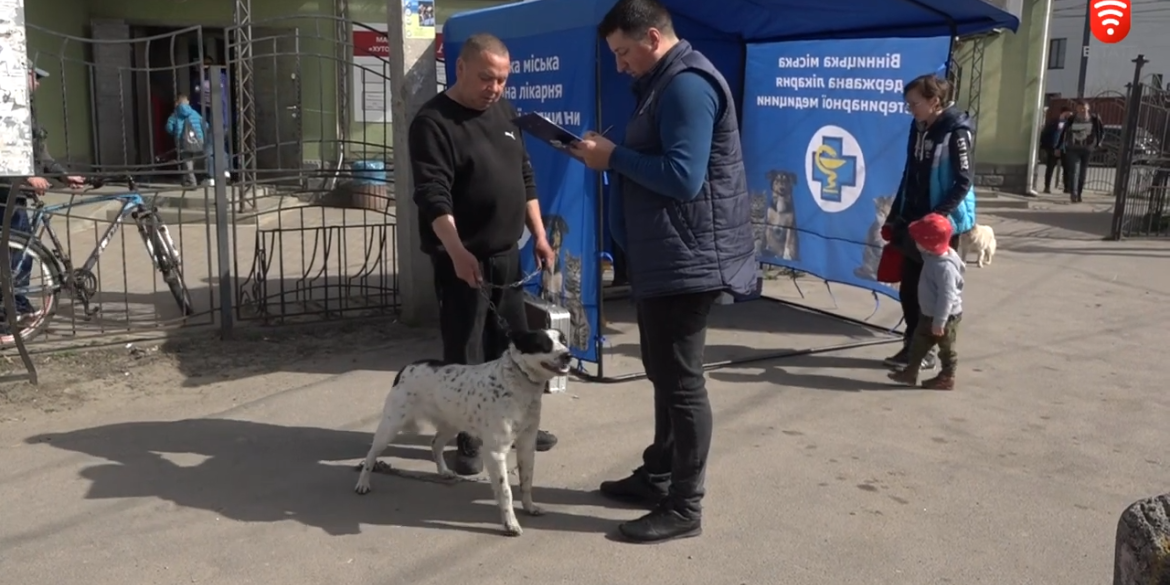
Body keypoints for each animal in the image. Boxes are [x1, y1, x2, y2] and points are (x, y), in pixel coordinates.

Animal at [355, 327, 575, 535]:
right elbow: (505, 491)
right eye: (544, 344)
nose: (568, 355)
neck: (518, 381)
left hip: (450, 425)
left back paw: (443, 471)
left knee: (435, 444)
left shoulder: (527, 445)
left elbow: (526, 481)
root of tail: (407, 367)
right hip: (390, 426)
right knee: (371, 455)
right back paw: (363, 483)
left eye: (563, 340)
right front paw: (510, 524)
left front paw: (529, 507)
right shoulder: (495, 452)